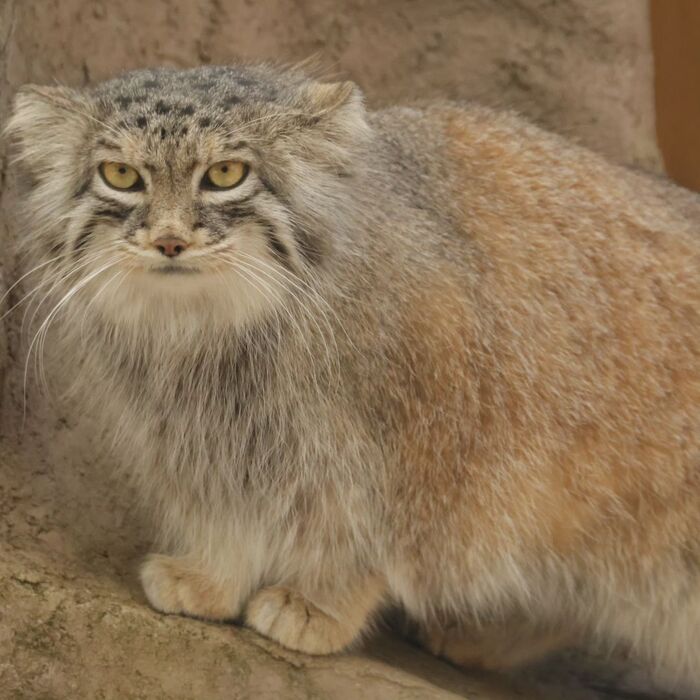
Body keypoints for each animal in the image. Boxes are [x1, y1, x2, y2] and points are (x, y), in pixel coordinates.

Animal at [6, 63, 700, 694]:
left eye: (226, 174)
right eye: (121, 175)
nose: (170, 241)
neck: (214, 338)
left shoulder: (420, 450)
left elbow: (362, 534)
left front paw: (320, 603)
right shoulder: (208, 434)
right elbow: (226, 504)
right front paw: (212, 576)